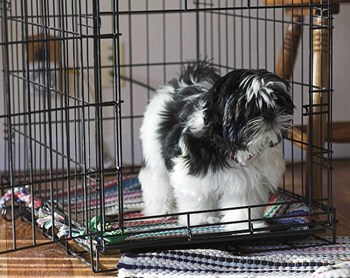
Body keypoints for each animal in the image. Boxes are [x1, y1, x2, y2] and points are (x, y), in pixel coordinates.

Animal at [138, 61, 294, 232]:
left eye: (278, 101)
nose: (270, 114)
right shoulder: (194, 176)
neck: (230, 146)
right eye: (248, 108)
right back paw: (161, 209)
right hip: (154, 148)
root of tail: (185, 81)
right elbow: (198, 199)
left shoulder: (247, 182)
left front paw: (243, 225)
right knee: (156, 179)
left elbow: (242, 203)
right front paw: (203, 220)